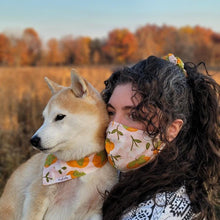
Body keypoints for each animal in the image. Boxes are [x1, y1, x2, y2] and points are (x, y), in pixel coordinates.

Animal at [0, 70, 117, 220]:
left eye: (59, 116)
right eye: (44, 118)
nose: (33, 140)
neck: (79, 163)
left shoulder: (95, 210)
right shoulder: (38, 192)